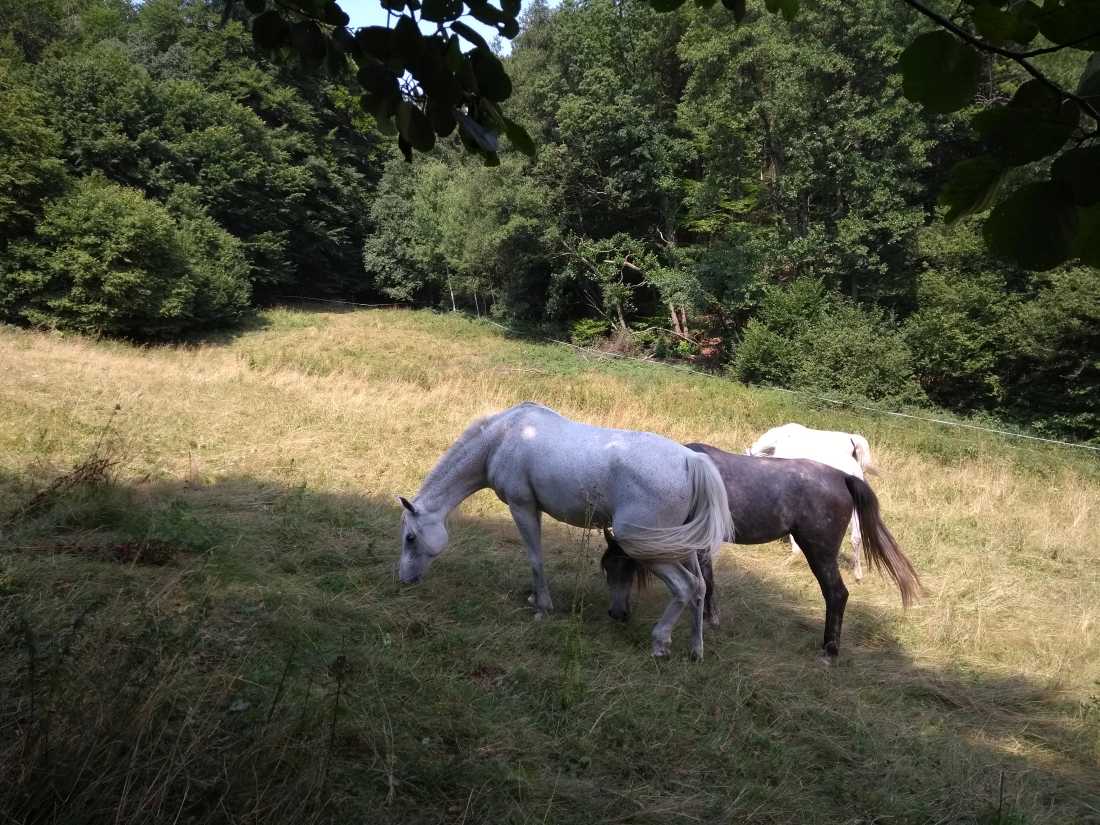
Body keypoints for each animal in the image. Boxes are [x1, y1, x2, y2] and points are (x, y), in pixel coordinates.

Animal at [400, 404, 734, 664]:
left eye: (410, 537)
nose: (404, 580)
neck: (503, 437)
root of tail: (691, 461)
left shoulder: (523, 507)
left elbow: (535, 558)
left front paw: (542, 607)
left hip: (647, 548)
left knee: (685, 586)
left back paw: (660, 643)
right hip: (682, 547)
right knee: (700, 587)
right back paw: (695, 649)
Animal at [602, 442, 919, 664]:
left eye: (618, 567)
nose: (616, 614)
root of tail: (842, 477)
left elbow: (707, 579)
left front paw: (707, 619)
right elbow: (707, 579)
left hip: (819, 552)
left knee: (837, 594)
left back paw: (829, 651)